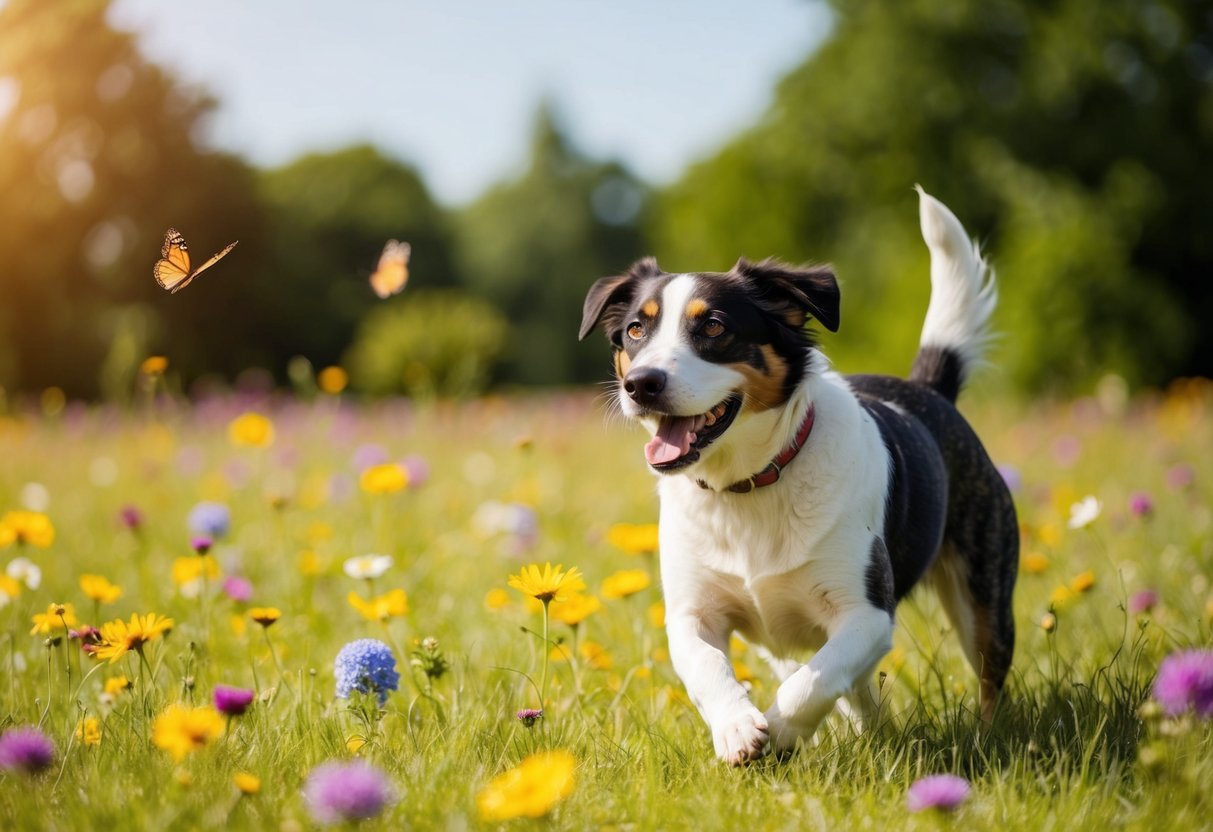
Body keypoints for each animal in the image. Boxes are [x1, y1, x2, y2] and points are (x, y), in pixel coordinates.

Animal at [582, 190, 1018, 771]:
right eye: (635, 329)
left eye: (714, 326)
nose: (640, 383)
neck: (747, 485)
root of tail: (929, 389)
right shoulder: (691, 613)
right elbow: (707, 668)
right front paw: (737, 727)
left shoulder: (867, 614)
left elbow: (811, 683)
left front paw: (784, 732)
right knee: (858, 692)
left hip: (983, 594)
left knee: (988, 674)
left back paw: (988, 734)